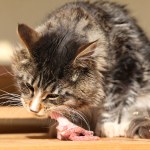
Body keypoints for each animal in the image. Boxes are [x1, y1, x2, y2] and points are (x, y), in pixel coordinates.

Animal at [11, 0, 150, 138]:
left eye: (53, 95)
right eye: (29, 86)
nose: (33, 109)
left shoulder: (126, 70)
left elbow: (114, 102)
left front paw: (108, 126)